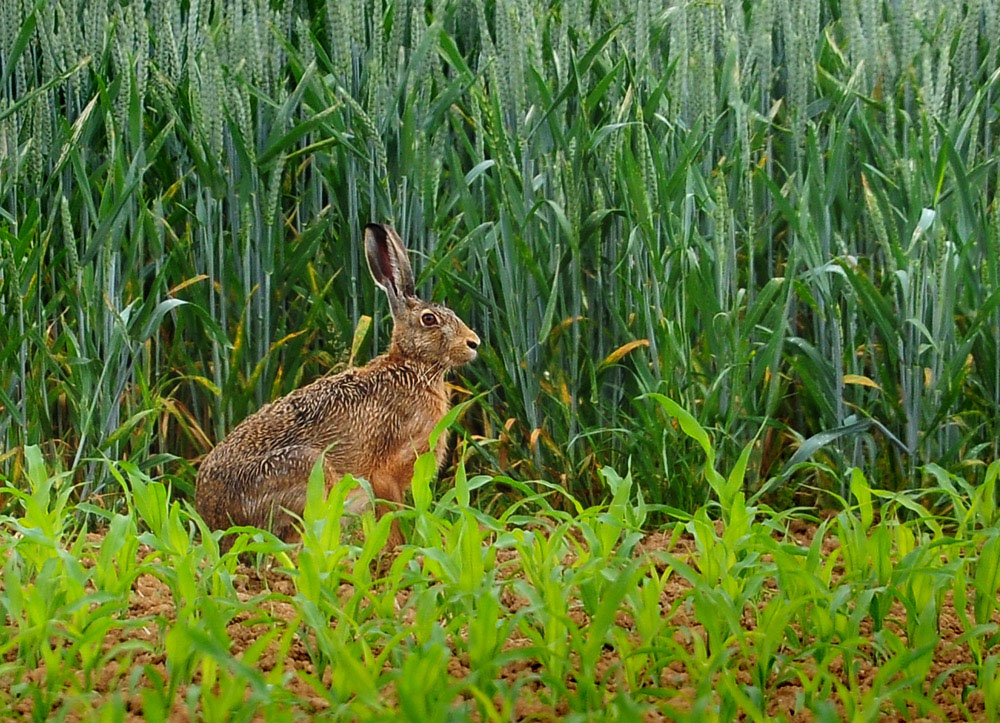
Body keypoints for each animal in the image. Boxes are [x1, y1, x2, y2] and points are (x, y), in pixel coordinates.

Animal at [194, 223, 480, 548]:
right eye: (429, 319)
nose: (473, 343)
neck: (412, 366)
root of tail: (212, 516)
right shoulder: (387, 472)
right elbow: (392, 517)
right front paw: (397, 550)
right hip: (305, 470)